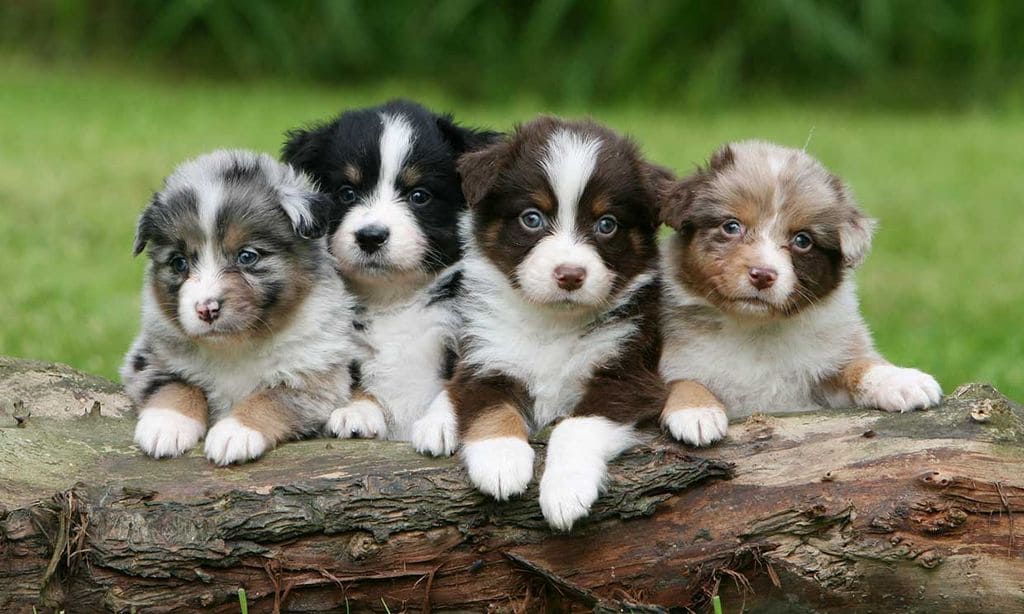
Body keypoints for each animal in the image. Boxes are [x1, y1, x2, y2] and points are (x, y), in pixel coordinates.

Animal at [121, 149, 360, 464]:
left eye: (247, 256)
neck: (235, 347)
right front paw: (166, 425)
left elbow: (271, 398)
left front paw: (234, 433)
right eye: (179, 263)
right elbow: (176, 384)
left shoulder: (317, 379)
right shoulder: (148, 357)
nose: (206, 309)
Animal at [284, 99, 499, 442]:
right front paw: (357, 411)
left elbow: (460, 385)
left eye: (419, 195)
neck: (393, 298)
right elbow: (356, 380)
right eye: (347, 193)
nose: (371, 236)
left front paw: (439, 423)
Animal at [415, 117, 671, 528]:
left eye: (607, 224)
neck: (553, 322)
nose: (570, 275)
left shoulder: (626, 374)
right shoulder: (487, 356)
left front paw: (566, 491)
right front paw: (501, 461)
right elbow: (490, 408)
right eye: (531, 218)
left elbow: (575, 427)